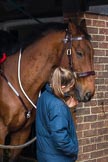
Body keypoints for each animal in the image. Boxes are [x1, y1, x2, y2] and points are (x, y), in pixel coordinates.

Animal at [0, 19, 94, 161]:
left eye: (93, 52)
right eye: (79, 53)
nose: (89, 93)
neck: (16, 80)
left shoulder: (21, 134)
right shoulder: (1, 132)